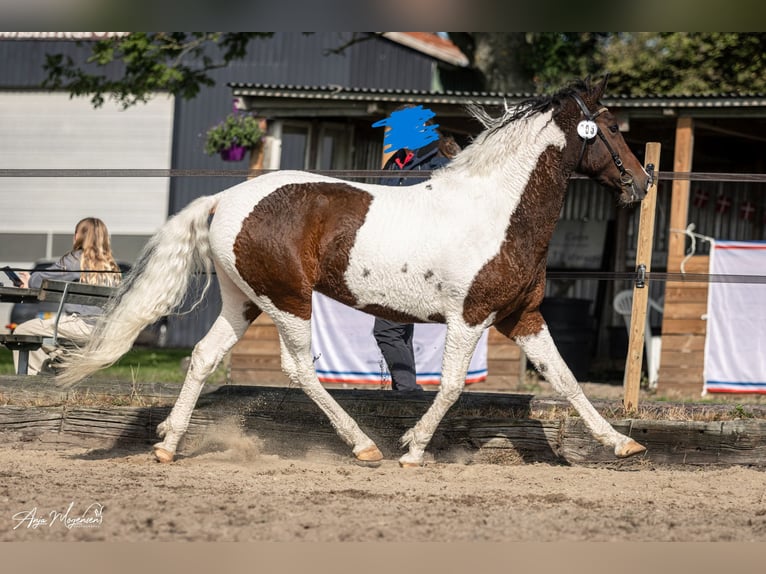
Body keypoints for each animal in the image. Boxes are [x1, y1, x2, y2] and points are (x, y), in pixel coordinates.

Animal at [55, 76, 656, 468]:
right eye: (608, 127)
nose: (642, 182)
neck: (497, 209)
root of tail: (224, 200)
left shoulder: (522, 316)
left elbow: (566, 380)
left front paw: (622, 444)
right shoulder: (470, 317)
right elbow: (452, 385)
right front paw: (413, 449)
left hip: (243, 300)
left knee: (204, 356)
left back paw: (167, 445)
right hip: (287, 299)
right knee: (299, 369)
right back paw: (365, 446)